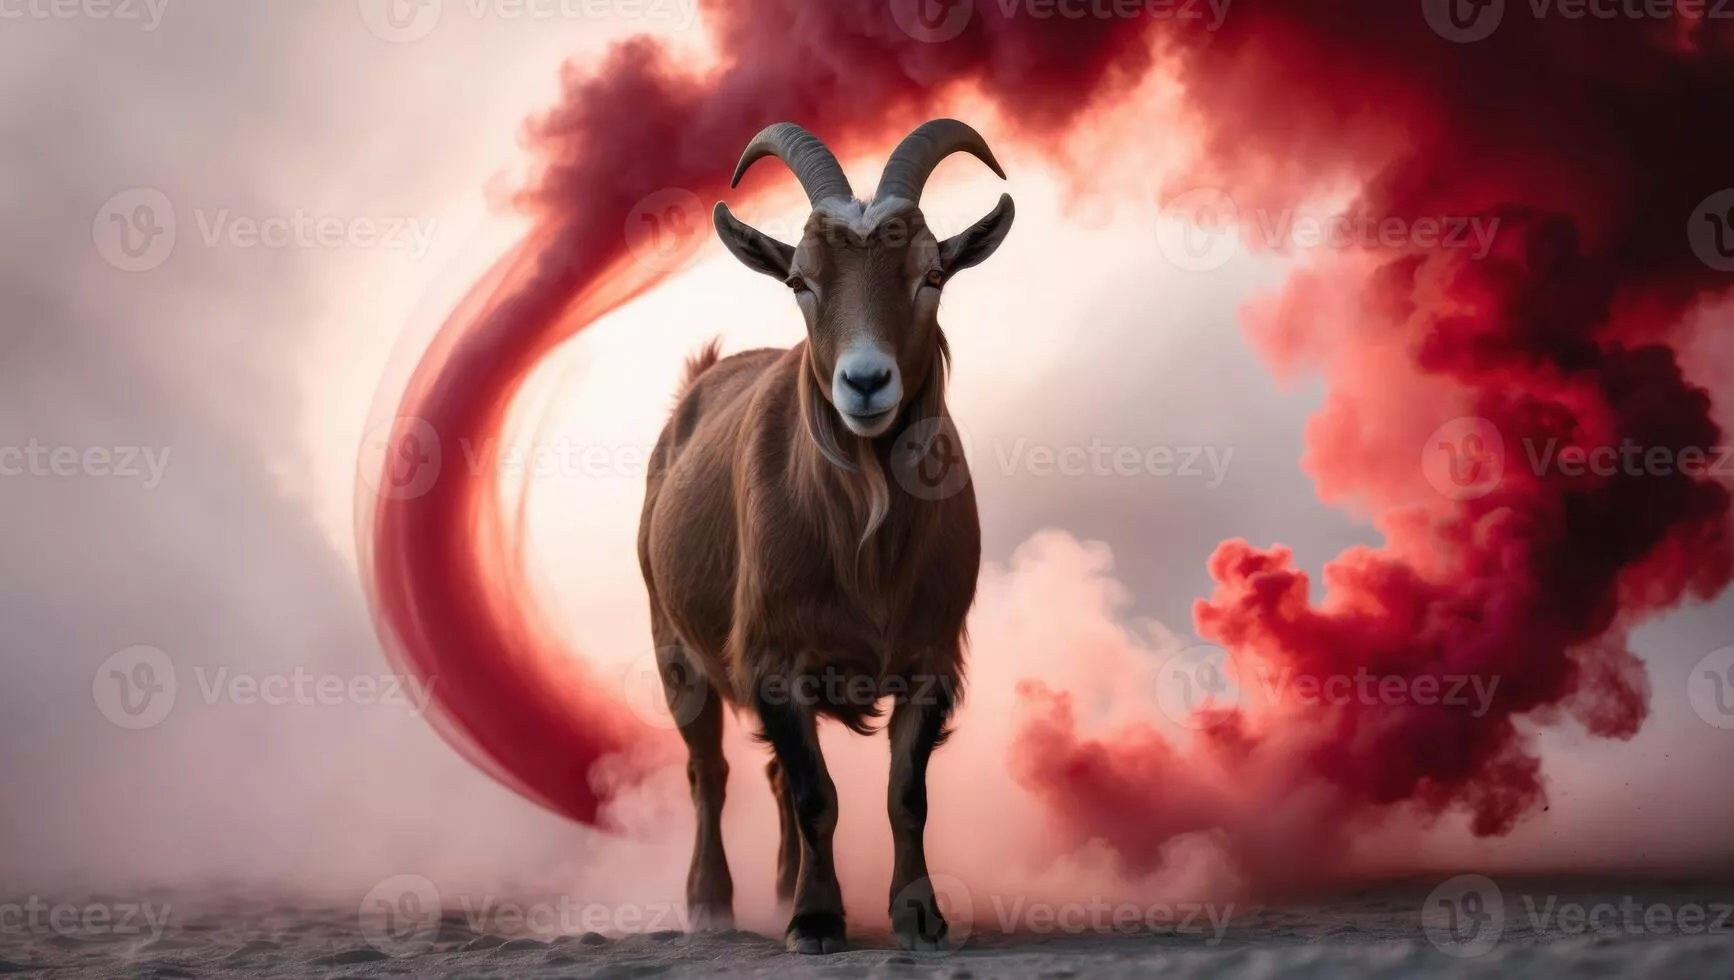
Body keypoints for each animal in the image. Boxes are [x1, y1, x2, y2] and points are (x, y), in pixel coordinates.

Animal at [636, 119, 1015, 954]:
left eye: (931, 274)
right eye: (800, 282)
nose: (865, 382)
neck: (862, 545)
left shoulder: (932, 659)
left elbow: (905, 795)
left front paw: (919, 915)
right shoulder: (773, 657)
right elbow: (818, 795)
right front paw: (815, 921)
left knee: (771, 774)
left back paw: (778, 887)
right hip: (673, 644)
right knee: (709, 772)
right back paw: (711, 905)